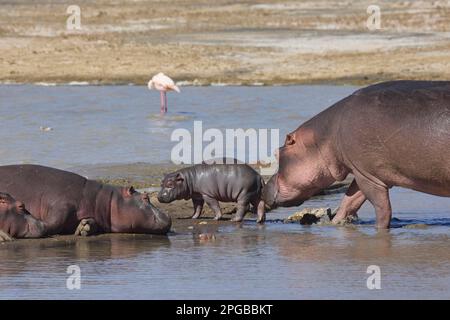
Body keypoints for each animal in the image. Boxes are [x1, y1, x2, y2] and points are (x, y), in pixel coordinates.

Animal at [0, 165, 171, 238]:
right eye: (145, 198)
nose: (168, 216)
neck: (103, 200)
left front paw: (85, 227)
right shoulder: (61, 205)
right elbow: (53, 223)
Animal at [262, 81, 450, 229]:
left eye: (277, 153)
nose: (264, 186)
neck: (324, 138)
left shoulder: (370, 177)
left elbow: (382, 209)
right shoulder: (361, 171)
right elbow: (349, 201)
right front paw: (333, 223)